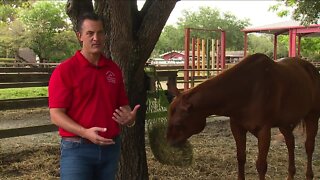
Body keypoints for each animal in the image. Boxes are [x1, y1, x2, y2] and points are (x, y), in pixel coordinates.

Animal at [166, 52, 320, 179]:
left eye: (178, 123)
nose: (169, 144)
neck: (247, 88)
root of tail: (312, 69)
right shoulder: (237, 128)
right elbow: (240, 158)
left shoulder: (264, 131)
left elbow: (261, 165)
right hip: (284, 123)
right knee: (290, 143)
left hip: (312, 116)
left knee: (309, 146)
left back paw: (309, 175)